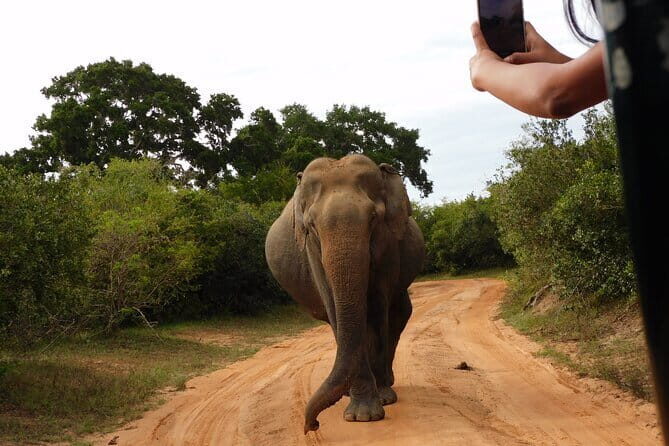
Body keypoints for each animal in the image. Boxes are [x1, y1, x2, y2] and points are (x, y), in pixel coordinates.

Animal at [265, 154, 425, 433]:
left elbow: (377, 306)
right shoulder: (312, 252)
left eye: (373, 219)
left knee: (397, 315)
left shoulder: (388, 246)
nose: (312, 425)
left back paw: (386, 385)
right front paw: (361, 414)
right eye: (311, 226)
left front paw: (379, 403)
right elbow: (335, 308)